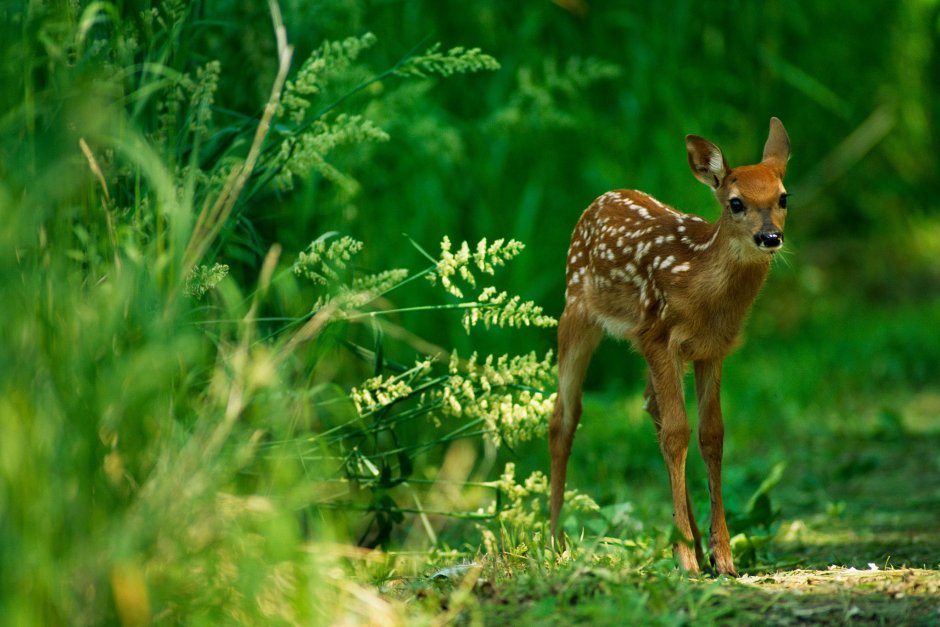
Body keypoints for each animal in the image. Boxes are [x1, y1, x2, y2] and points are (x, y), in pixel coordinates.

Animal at [548, 118, 790, 576]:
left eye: (783, 197)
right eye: (735, 203)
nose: (770, 236)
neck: (698, 280)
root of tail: (601, 198)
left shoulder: (711, 350)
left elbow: (711, 434)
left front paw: (722, 556)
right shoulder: (659, 336)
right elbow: (679, 433)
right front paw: (687, 560)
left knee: (650, 406)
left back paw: (691, 538)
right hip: (576, 312)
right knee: (564, 416)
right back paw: (555, 542)